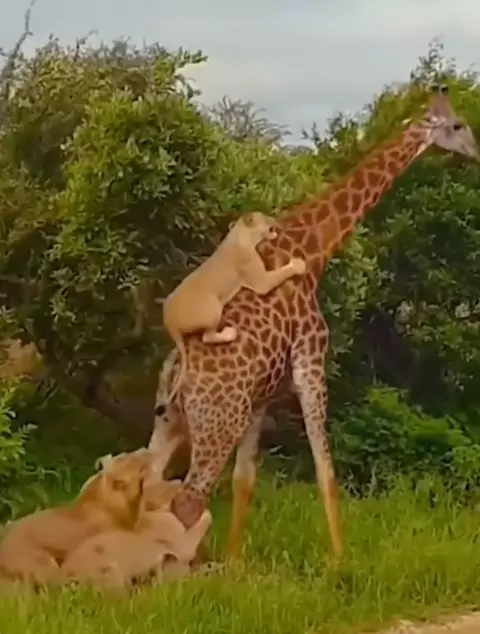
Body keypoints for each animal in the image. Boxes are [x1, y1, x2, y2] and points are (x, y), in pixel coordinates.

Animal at [156, 84, 479, 561]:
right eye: (458, 126)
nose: (476, 152)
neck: (314, 246)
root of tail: (178, 367)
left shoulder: (263, 397)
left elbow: (245, 481)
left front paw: (235, 562)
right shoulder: (311, 360)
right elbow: (326, 469)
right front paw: (340, 562)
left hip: (170, 423)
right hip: (218, 424)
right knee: (186, 498)